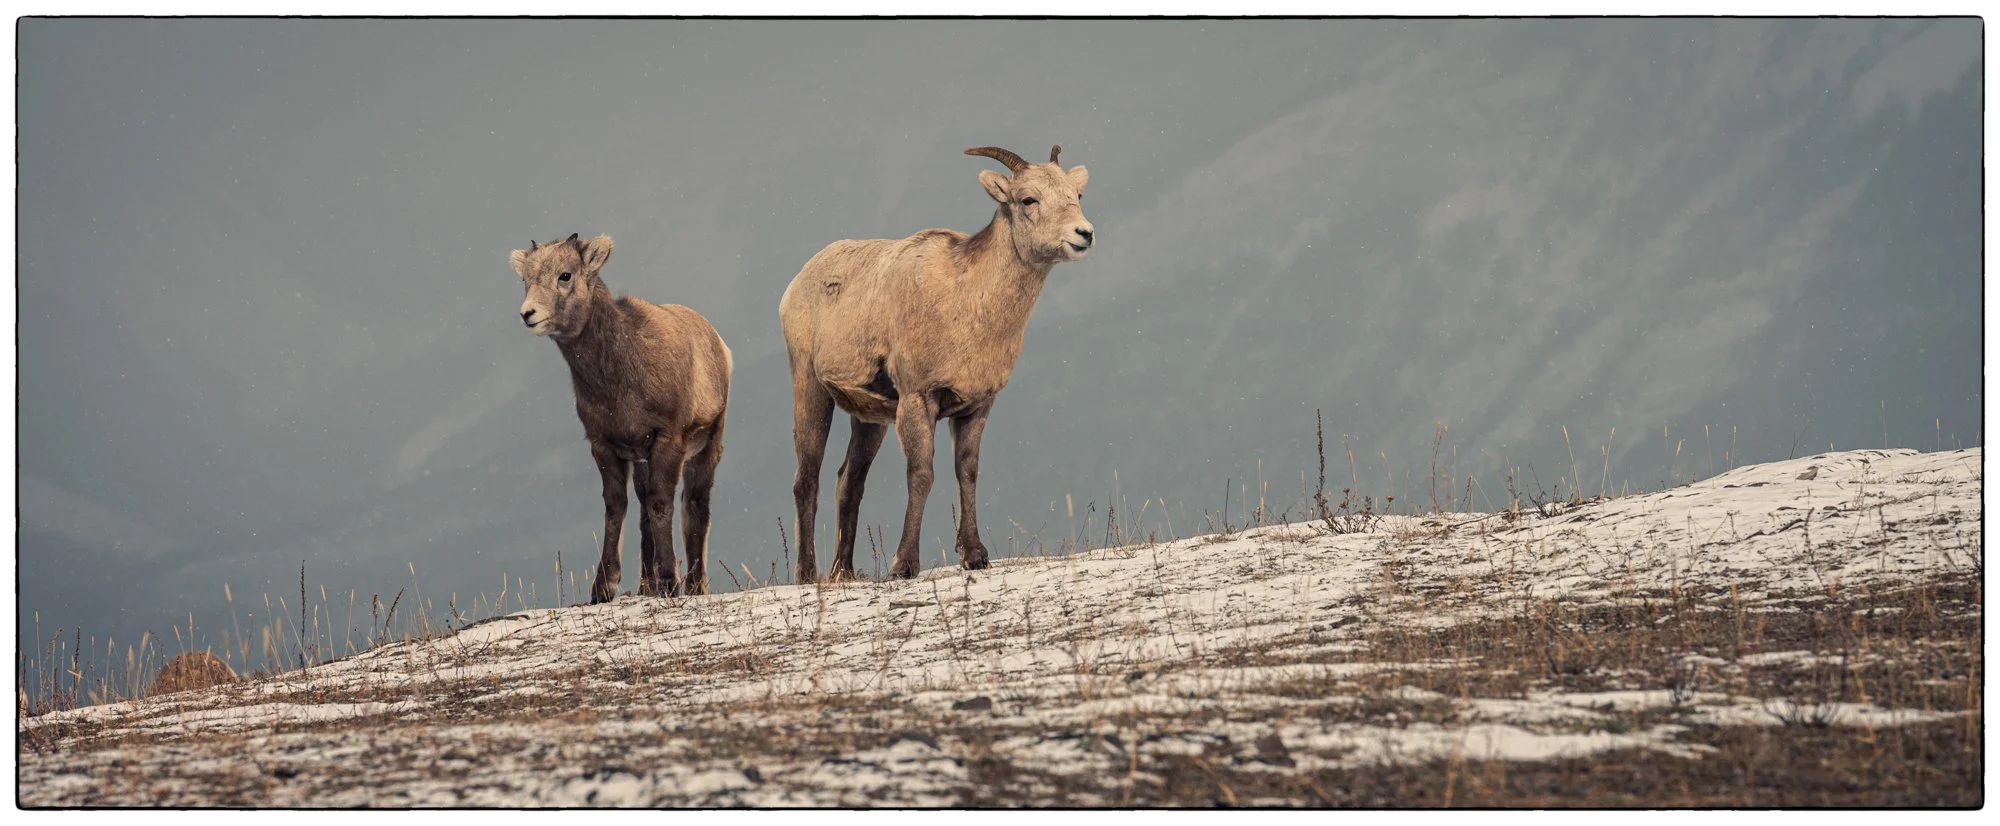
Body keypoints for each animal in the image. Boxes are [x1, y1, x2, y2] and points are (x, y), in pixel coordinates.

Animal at [514, 233, 731, 602]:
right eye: (525, 279)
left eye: (565, 275)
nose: (528, 314)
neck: (618, 381)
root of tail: (718, 342)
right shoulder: (606, 445)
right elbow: (618, 507)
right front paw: (603, 589)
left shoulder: (668, 439)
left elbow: (661, 505)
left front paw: (669, 583)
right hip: (642, 460)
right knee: (645, 512)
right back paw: (647, 586)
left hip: (706, 446)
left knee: (695, 508)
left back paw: (693, 586)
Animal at [779, 145, 1094, 581]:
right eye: (1028, 199)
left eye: (1076, 195)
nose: (1084, 234)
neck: (967, 305)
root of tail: (795, 285)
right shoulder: (918, 398)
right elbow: (922, 474)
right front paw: (904, 565)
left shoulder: (976, 407)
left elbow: (967, 472)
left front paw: (975, 556)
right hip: (810, 389)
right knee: (806, 480)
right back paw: (809, 575)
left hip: (869, 420)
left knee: (849, 481)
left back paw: (845, 571)